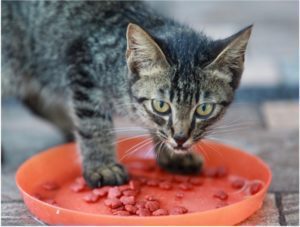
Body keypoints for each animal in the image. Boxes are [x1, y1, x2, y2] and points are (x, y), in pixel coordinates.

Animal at [1, 0, 252, 187]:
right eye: (161, 105)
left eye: (204, 109)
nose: (180, 139)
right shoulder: (85, 68)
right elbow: (94, 124)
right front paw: (102, 166)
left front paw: (171, 155)